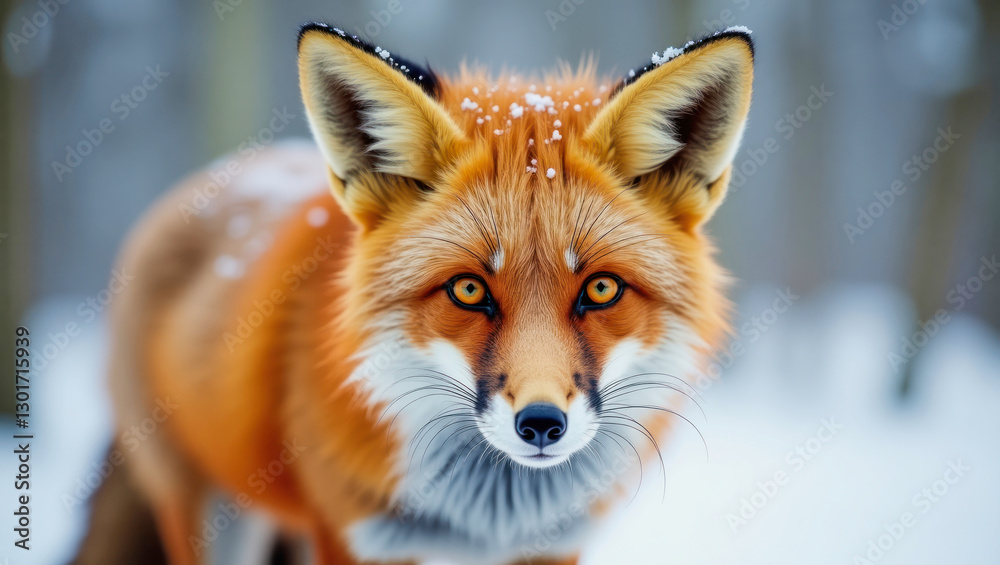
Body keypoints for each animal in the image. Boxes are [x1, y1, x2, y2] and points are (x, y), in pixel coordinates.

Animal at [78, 21, 754, 565]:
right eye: (468, 289)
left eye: (602, 288)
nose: (541, 424)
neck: (485, 520)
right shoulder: (355, 536)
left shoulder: (551, 547)